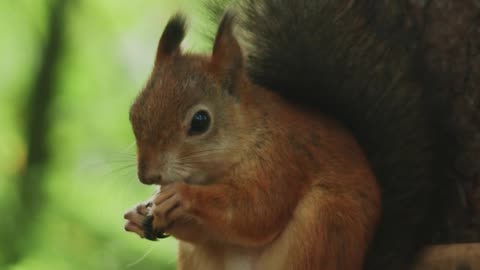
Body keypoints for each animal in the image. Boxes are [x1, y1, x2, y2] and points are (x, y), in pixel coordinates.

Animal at [121, 0, 462, 270]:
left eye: (200, 121)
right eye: (134, 111)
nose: (147, 175)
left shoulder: (283, 160)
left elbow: (256, 211)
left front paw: (182, 196)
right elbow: (206, 233)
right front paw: (140, 214)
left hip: (324, 223)